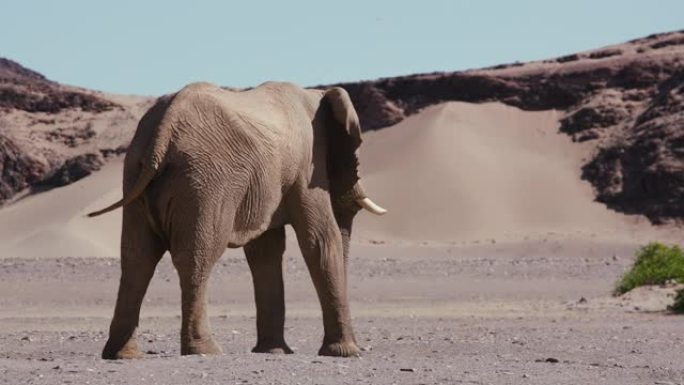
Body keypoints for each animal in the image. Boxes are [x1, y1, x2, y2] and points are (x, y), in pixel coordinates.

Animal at [87, 82, 384, 360]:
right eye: (353, 152)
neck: (316, 94)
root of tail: (164, 127)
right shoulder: (307, 165)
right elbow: (321, 241)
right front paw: (347, 353)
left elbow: (265, 251)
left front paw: (272, 352)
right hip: (205, 182)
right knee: (198, 255)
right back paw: (205, 350)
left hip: (136, 174)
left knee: (138, 259)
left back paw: (122, 355)